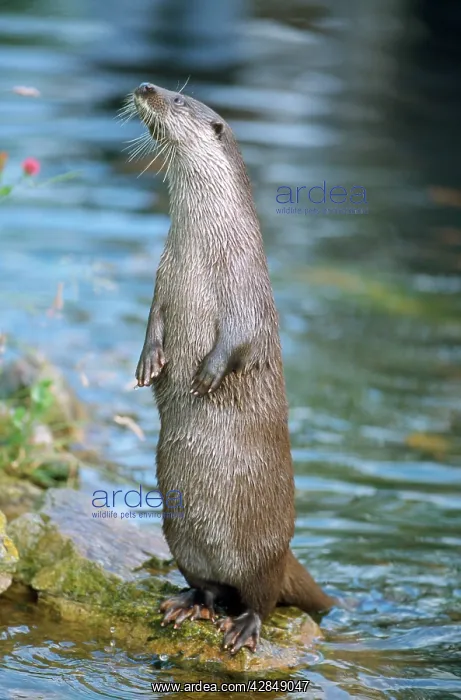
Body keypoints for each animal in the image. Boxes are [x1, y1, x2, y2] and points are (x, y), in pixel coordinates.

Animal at [129, 82, 334, 653]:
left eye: (178, 100)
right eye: (164, 88)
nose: (147, 87)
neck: (202, 252)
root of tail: (286, 554)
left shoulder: (246, 293)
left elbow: (238, 341)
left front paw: (205, 375)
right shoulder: (163, 278)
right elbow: (153, 320)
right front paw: (149, 362)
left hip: (263, 554)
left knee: (260, 598)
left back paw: (243, 627)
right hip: (180, 538)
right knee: (209, 585)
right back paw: (187, 603)